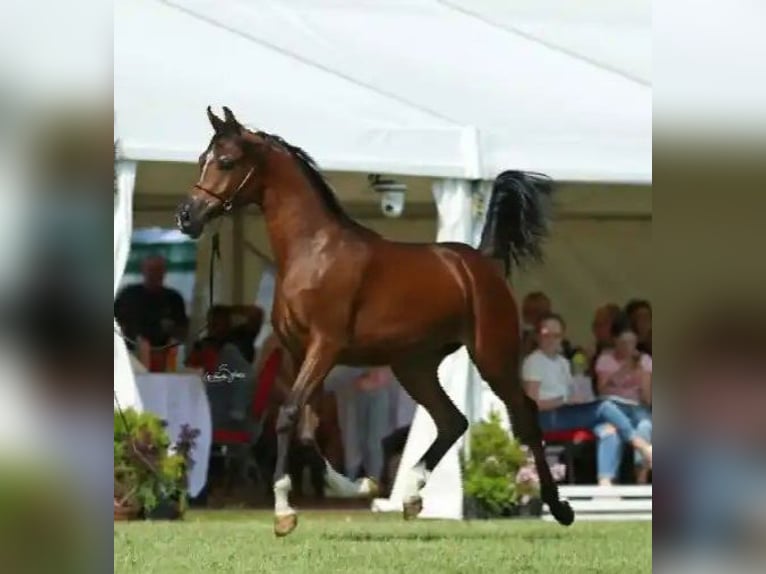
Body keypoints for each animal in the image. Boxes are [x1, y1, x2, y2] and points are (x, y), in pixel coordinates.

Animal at [178, 106, 576, 536]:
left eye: (226, 161)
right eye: (202, 160)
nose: (187, 217)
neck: (313, 252)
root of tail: (480, 263)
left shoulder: (325, 346)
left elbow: (289, 416)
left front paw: (284, 511)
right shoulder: (300, 352)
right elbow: (308, 429)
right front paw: (355, 486)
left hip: (492, 356)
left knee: (526, 416)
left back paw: (559, 506)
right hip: (414, 366)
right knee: (452, 421)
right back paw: (412, 495)